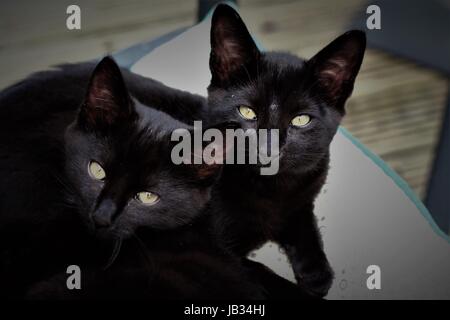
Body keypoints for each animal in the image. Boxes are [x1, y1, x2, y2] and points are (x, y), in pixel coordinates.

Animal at [206, 3, 368, 298]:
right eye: (246, 112)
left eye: (301, 120)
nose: (268, 148)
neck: (270, 189)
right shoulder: (213, 248)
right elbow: (260, 272)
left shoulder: (304, 197)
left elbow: (305, 224)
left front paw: (316, 272)